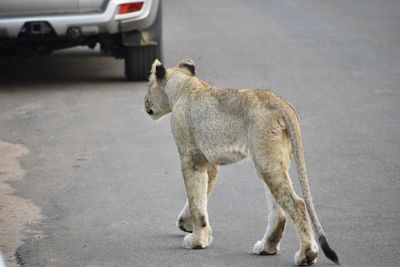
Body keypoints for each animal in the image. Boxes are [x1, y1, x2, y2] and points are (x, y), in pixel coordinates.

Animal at [144, 58, 338, 266]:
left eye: (148, 85)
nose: (144, 104)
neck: (181, 86)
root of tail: (282, 104)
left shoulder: (191, 157)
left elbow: (196, 201)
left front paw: (196, 240)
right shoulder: (209, 163)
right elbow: (201, 196)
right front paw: (195, 229)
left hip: (266, 161)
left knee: (297, 204)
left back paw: (306, 254)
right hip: (269, 162)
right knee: (279, 212)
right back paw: (266, 247)